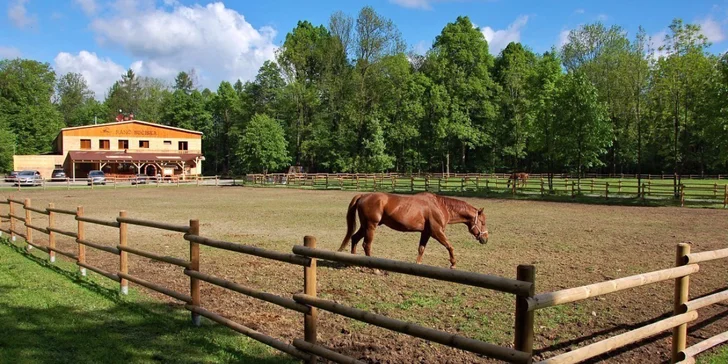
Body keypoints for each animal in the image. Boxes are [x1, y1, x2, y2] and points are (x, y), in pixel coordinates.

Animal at [336, 192, 490, 268]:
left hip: (365, 226)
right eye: (482, 222)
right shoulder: (437, 232)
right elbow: (450, 246)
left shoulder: (426, 233)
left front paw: (418, 264)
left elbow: (421, 249)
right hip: (370, 226)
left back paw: (352, 263)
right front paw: (453, 264)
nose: (485, 239)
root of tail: (363, 195)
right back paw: (375, 269)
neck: (440, 206)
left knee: (355, 238)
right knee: (366, 245)